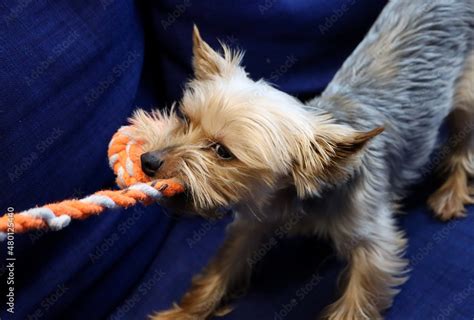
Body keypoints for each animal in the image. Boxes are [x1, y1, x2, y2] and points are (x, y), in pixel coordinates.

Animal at [130, 1, 474, 318]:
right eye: (186, 120)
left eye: (223, 152)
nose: (148, 161)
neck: (297, 194)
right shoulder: (255, 221)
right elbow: (223, 265)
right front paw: (183, 313)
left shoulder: (373, 241)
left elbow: (358, 296)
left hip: (467, 94)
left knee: (464, 143)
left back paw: (451, 194)